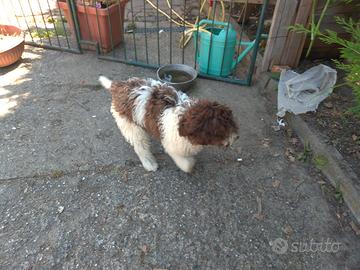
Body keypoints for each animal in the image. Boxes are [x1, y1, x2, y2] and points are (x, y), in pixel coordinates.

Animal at [99, 75, 239, 173]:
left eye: (231, 122)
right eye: (220, 130)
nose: (236, 138)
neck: (184, 121)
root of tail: (119, 86)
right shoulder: (171, 144)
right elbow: (187, 164)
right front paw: (190, 163)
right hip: (131, 125)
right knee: (140, 146)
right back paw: (149, 163)